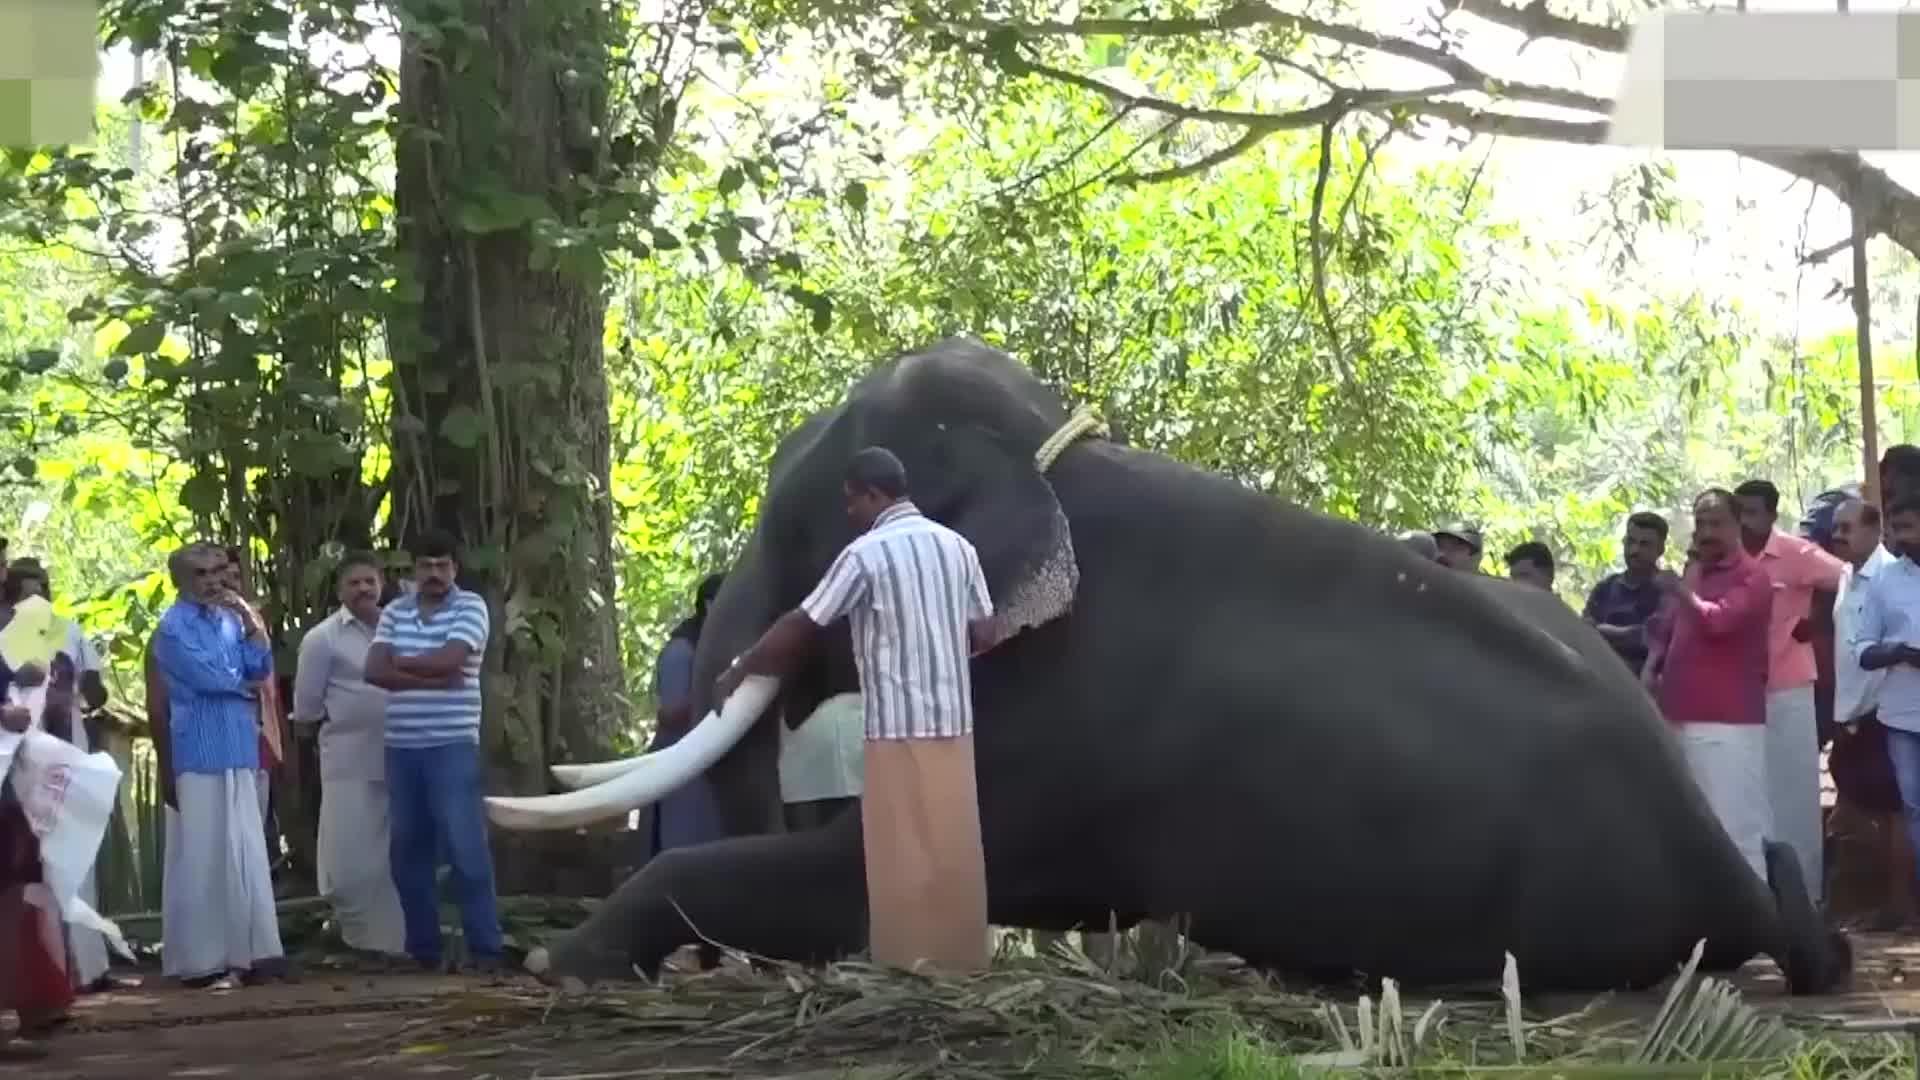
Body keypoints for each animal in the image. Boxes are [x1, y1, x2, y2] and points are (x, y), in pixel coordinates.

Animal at [487, 336, 1850, 991]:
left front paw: (569, 963)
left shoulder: (1048, 745)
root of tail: (1730, 876)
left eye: (801, 516)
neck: (1052, 456)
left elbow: (849, 881)